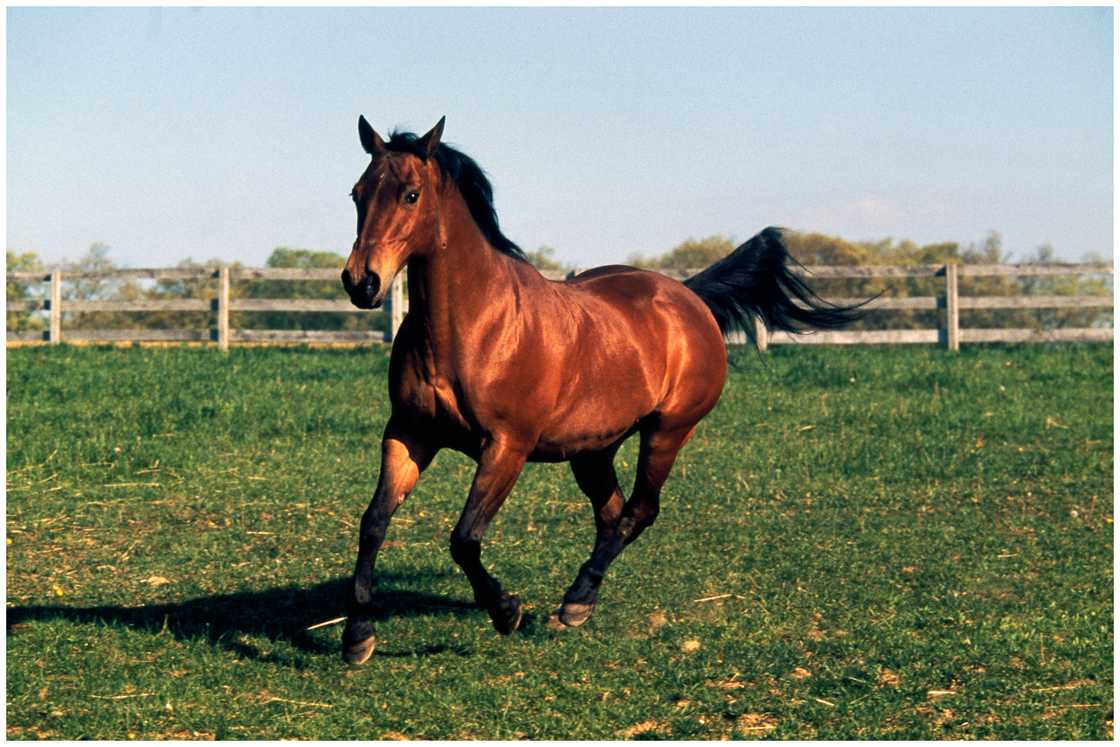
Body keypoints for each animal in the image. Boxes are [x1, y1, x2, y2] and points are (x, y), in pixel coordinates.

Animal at [339, 115, 864, 664]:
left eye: (411, 195)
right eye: (357, 193)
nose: (361, 282)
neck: (475, 325)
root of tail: (688, 297)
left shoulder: (506, 447)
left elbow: (464, 538)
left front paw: (506, 610)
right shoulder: (410, 433)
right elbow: (373, 522)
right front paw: (358, 635)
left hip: (668, 431)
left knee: (639, 511)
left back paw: (575, 600)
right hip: (592, 450)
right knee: (612, 514)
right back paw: (581, 601)